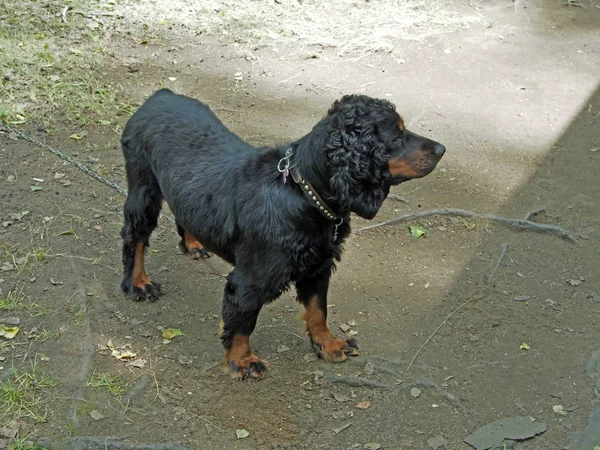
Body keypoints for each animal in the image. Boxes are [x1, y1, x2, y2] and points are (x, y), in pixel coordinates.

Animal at [119, 89, 446, 382]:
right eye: (397, 136)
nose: (442, 149)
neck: (302, 192)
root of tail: (159, 95)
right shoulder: (251, 280)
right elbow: (243, 323)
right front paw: (241, 361)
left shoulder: (318, 264)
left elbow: (318, 310)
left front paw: (328, 345)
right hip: (143, 187)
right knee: (134, 236)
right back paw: (139, 283)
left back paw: (193, 243)